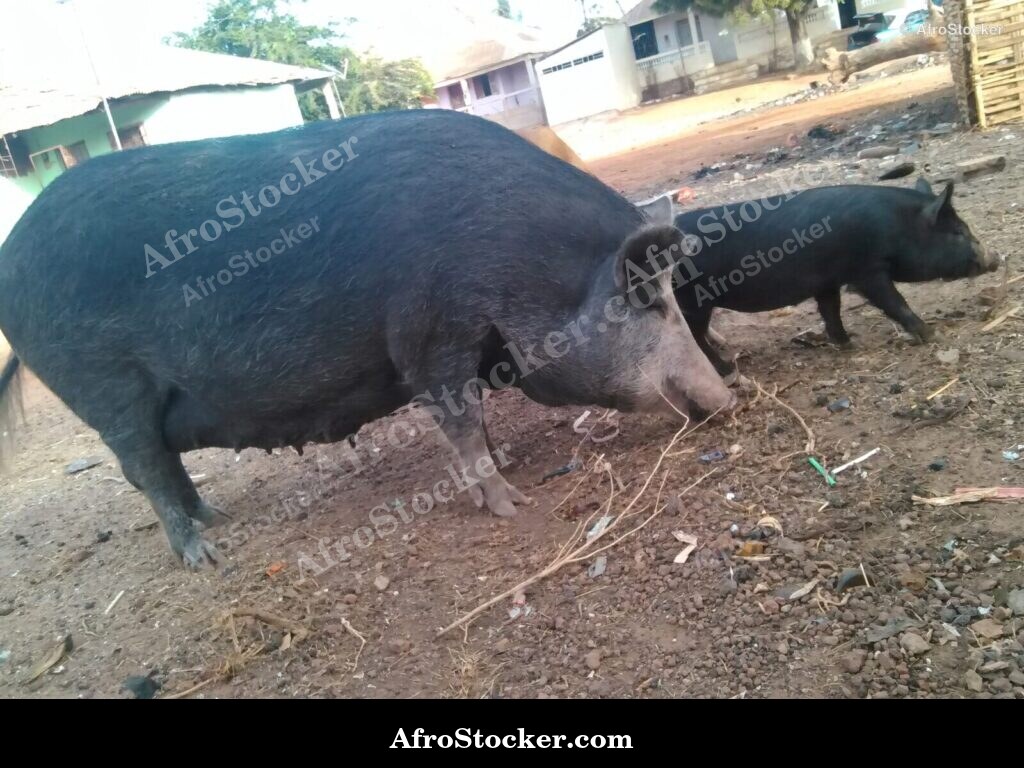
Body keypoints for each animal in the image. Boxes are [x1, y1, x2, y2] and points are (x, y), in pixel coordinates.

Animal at [0, 109, 733, 569]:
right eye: (648, 303)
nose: (730, 398)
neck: (517, 265)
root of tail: (10, 255)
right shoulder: (430, 332)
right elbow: (459, 421)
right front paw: (510, 505)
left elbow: (472, 420)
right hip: (106, 385)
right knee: (146, 468)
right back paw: (206, 558)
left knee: (163, 468)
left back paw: (218, 520)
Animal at [661, 179, 998, 374]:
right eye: (957, 232)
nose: (995, 258)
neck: (896, 226)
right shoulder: (866, 271)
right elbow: (895, 302)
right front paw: (931, 335)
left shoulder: (827, 281)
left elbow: (830, 310)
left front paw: (847, 343)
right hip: (692, 302)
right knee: (693, 339)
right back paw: (727, 369)